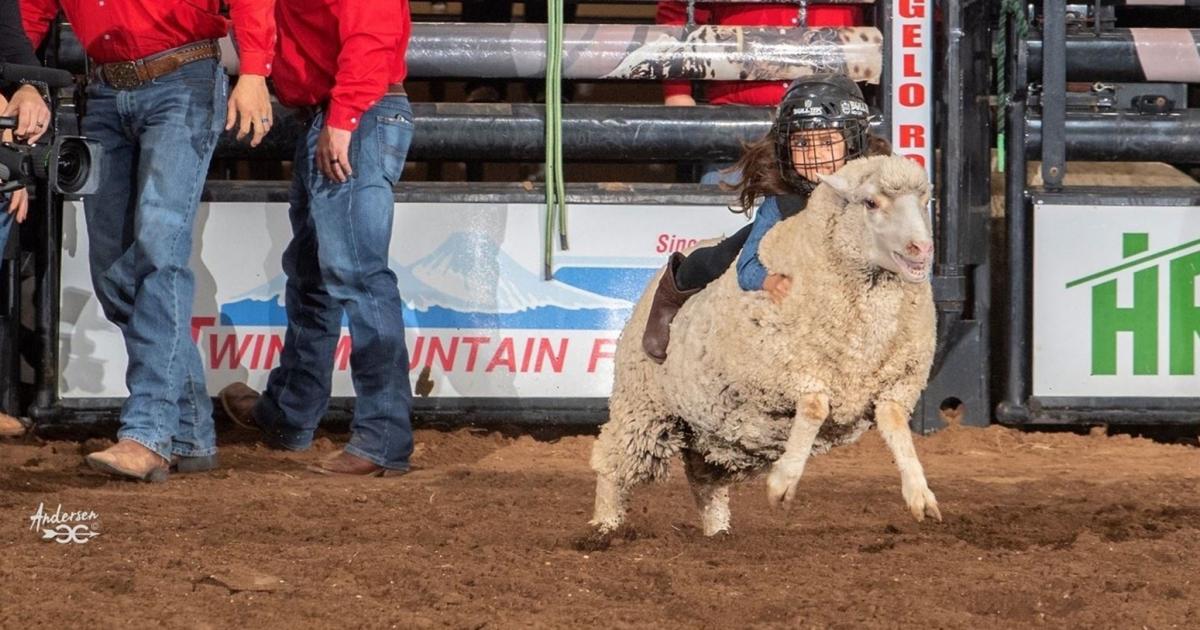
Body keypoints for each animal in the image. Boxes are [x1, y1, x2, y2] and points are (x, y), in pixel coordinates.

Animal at [585, 153, 940, 535]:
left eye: (924, 201)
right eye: (871, 202)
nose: (922, 249)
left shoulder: (897, 381)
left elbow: (894, 424)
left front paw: (920, 495)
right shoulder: (787, 368)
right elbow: (814, 408)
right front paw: (783, 484)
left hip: (711, 430)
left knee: (704, 479)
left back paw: (717, 531)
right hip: (644, 405)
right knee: (614, 462)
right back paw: (604, 525)